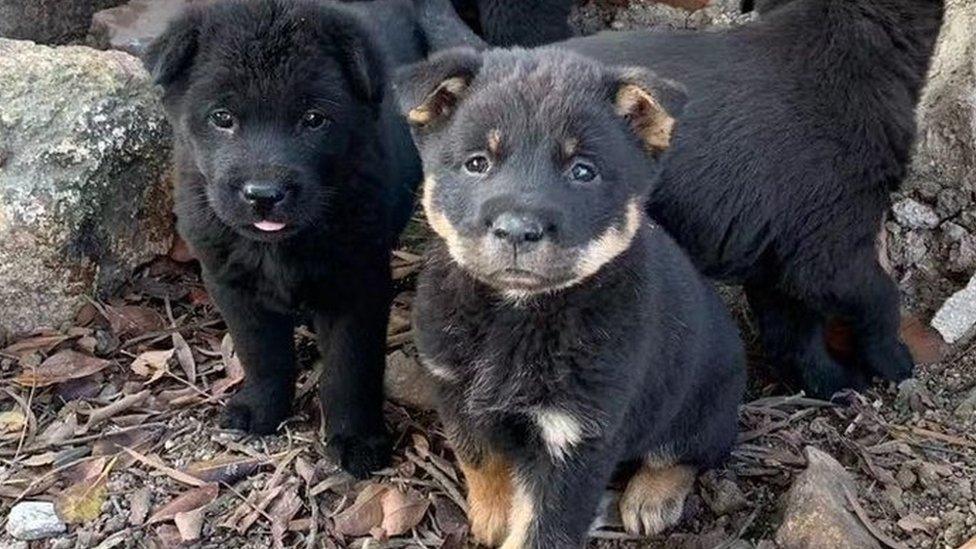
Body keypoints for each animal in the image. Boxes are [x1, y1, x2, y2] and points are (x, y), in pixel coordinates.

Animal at [142, 0, 428, 476]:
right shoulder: (231, 284)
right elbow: (262, 353)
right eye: (222, 118)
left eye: (313, 120)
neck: (276, 249)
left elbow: (350, 368)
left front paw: (356, 438)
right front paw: (261, 408)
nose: (264, 194)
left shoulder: (358, 285)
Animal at [392, 48, 744, 548]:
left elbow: (545, 528)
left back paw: (651, 498)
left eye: (582, 171)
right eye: (477, 163)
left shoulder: (576, 439)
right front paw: (492, 512)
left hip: (703, 409)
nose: (517, 230)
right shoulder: (455, 391)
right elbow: (478, 456)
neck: (514, 318)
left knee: (682, 455)